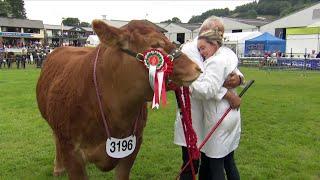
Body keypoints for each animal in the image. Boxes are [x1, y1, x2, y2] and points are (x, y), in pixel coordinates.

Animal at [36, 19, 201, 179]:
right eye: (155, 45)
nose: (196, 68)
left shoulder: (133, 146)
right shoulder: (71, 151)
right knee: (55, 139)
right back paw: (58, 168)